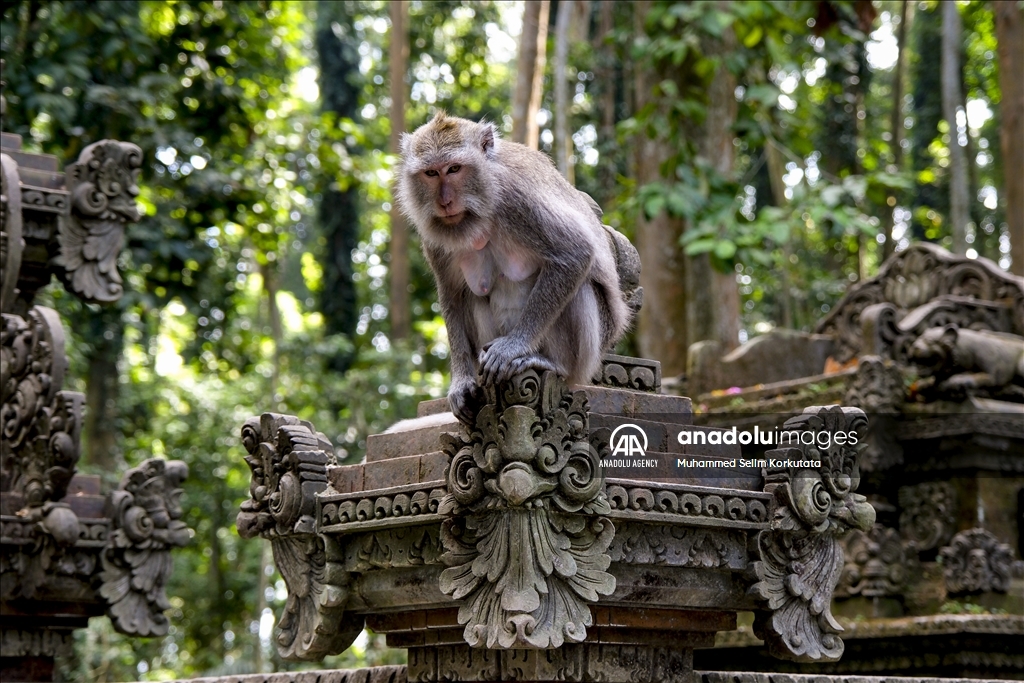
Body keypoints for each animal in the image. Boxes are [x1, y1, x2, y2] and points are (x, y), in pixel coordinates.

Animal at [395, 111, 634, 421]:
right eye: (431, 173)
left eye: (455, 168)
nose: (445, 201)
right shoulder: (433, 234)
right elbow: (452, 295)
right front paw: (461, 381)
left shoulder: (516, 198)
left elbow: (574, 254)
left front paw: (513, 348)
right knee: (472, 296)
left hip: (589, 354)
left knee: (579, 289)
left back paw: (549, 363)